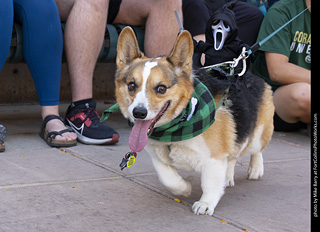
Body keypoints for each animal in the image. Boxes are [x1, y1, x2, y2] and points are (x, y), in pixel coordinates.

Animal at [114, 26, 274, 215]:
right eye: (131, 85)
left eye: (161, 88)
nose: (139, 113)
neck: (177, 126)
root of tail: (253, 76)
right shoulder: (157, 157)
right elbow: (168, 178)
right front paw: (185, 188)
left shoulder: (214, 159)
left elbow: (210, 185)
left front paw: (205, 204)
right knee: (233, 156)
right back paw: (227, 178)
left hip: (257, 136)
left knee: (256, 150)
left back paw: (255, 169)